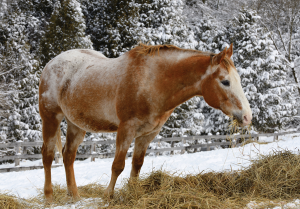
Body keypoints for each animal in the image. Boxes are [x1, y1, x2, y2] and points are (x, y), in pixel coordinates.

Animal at [39, 42, 251, 201]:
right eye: (225, 81)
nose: (247, 116)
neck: (152, 82)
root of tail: (51, 63)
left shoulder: (148, 134)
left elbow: (137, 165)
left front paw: (132, 194)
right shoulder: (126, 129)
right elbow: (118, 165)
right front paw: (108, 196)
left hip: (76, 124)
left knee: (68, 156)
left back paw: (74, 196)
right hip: (51, 118)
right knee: (48, 156)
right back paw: (49, 197)